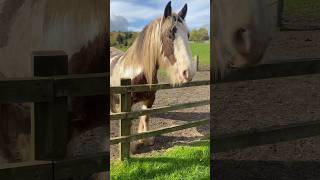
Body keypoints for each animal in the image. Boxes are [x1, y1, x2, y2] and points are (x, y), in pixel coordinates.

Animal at [110, 1, 196, 153]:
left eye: (188, 34)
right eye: (169, 34)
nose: (189, 72)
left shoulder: (149, 100)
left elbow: (145, 118)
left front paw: (145, 140)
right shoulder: (124, 105)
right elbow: (127, 123)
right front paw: (131, 147)